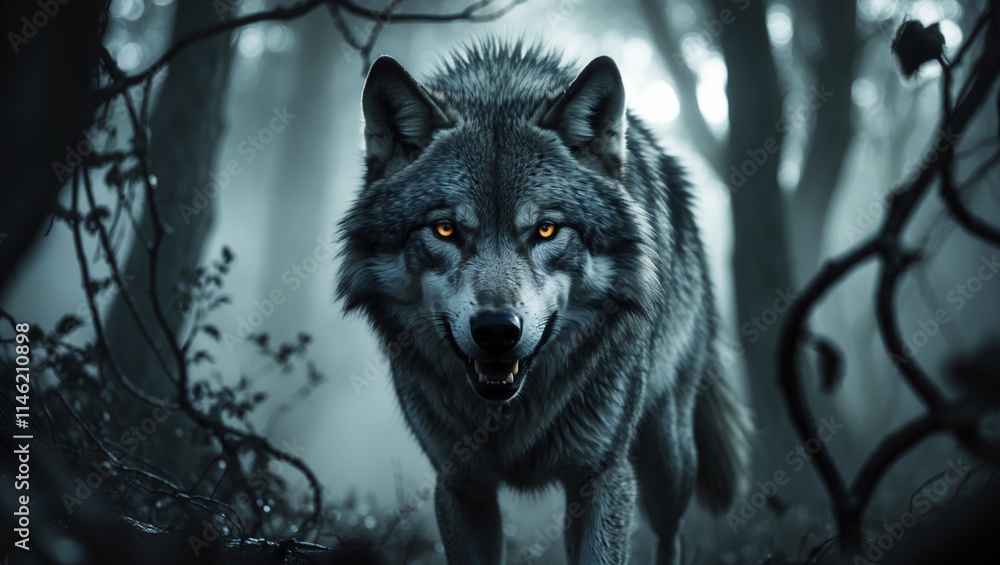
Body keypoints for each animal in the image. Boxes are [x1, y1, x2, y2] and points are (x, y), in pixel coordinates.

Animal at [336, 41, 752, 565]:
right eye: (445, 229)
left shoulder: (602, 476)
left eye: (546, 230)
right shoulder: (460, 484)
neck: (509, 416)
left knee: (670, 531)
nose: (496, 330)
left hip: (669, 459)